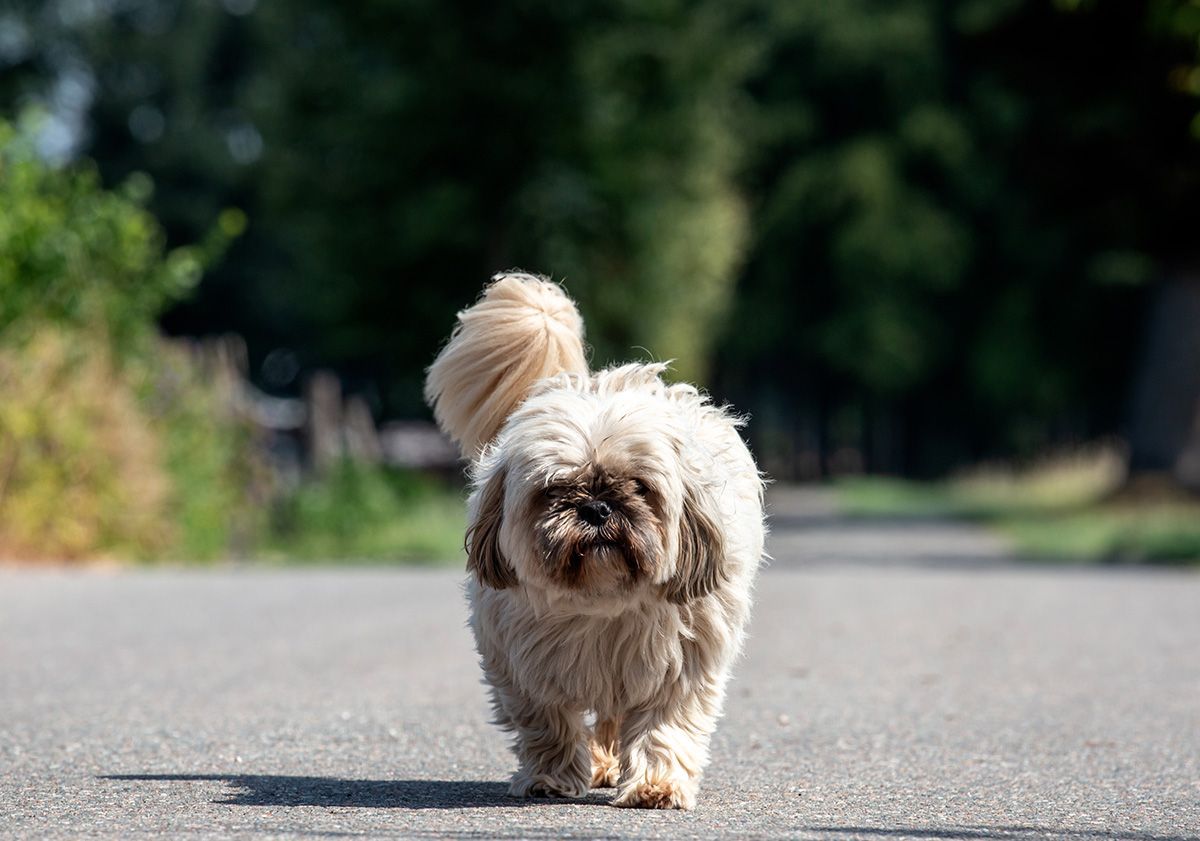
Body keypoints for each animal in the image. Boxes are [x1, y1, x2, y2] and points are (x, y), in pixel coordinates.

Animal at [427, 271, 763, 806]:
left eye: (639, 487)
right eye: (554, 489)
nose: (597, 507)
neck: (601, 607)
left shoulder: (682, 665)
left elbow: (665, 725)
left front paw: (654, 784)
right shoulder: (521, 668)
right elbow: (548, 723)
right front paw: (550, 777)